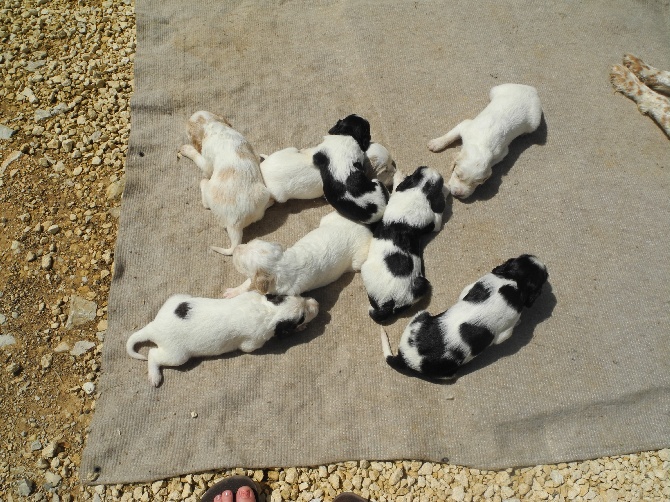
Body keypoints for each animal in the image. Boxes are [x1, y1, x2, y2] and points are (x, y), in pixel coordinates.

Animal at [126, 292, 320, 386]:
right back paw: (154, 376)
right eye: (302, 317)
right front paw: (301, 328)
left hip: (177, 299)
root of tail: (155, 326)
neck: (268, 310)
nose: (317, 304)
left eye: (298, 295)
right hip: (177, 355)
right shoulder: (253, 342)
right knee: (153, 354)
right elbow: (250, 347)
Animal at [181, 110, 272, 255]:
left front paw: (186, 149)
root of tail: (234, 224)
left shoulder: (206, 163)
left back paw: (203, 182)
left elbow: (199, 159)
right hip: (263, 193)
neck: (213, 125)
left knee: (205, 197)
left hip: (209, 191)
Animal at [224, 211, 372, 298]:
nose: (236, 248)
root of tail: (364, 226)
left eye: (242, 264)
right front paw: (232, 292)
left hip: (359, 258)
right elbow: (247, 283)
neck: (281, 265)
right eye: (249, 242)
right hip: (331, 217)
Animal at [362, 165, 446, 322]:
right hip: (421, 284)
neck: (420, 188)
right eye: (416, 174)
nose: (426, 167)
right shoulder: (434, 220)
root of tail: (390, 302)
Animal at [384, 255, 552, 380]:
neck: (515, 280)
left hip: (420, 316)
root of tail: (403, 358)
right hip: (447, 371)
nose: (539, 259)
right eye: (544, 276)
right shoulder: (505, 332)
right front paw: (520, 322)